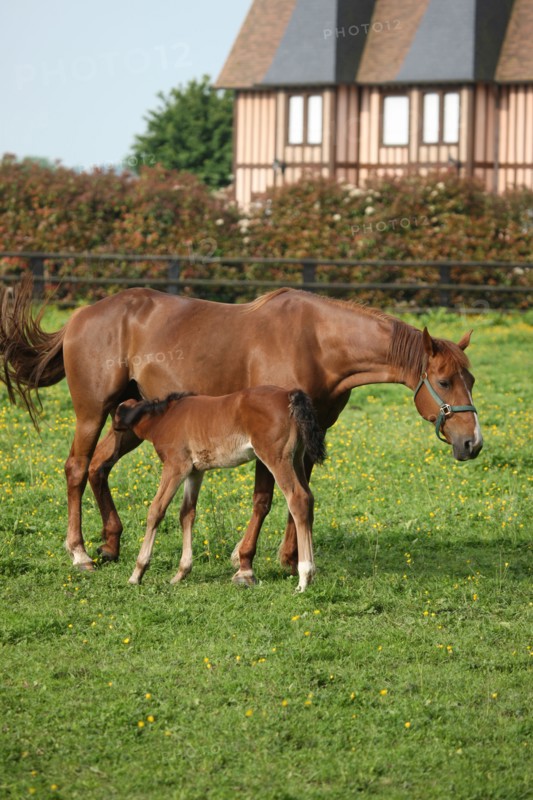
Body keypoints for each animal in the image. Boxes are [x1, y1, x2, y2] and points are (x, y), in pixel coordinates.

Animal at [112, 386, 326, 591]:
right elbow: (187, 513)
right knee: (309, 498)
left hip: (276, 458)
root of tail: (289, 394)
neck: (165, 417)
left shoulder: (175, 467)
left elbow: (156, 510)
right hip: (297, 458)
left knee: (298, 499)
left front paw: (137, 573)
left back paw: (304, 578)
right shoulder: (195, 472)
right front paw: (181, 573)